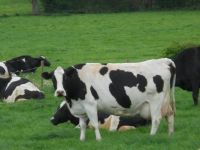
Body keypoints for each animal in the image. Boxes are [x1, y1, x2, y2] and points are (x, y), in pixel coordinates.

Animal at [41, 57, 175, 141]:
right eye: (53, 79)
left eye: (65, 78)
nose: (60, 92)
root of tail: (164, 60)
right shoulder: (82, 108)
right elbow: (83, 125)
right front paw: (82, 140)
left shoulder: (90, 105)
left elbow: (94, 124)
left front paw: (99, 140)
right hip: (166, 101)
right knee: (170, 115)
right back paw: (170, 134)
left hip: (155, 102)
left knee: (156, 119)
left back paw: (152, 136)